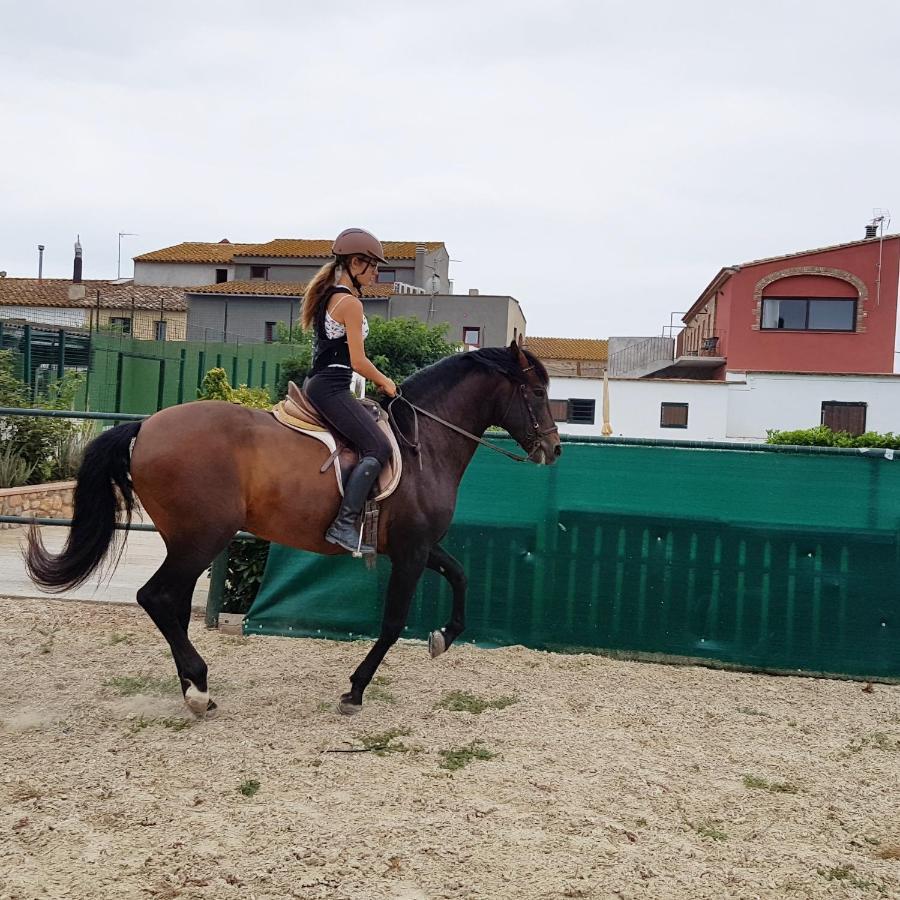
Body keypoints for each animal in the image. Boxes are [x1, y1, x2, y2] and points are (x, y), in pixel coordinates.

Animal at [24, 342, 560, 716]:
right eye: (537, 393)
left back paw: (195, 688)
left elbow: (461, 576)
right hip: (203, 538)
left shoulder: (420, 545)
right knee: (155, 597)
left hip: (187, 542)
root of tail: (145, 426)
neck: (422, 442)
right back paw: (197, 689)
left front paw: (443, 637)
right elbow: (391, 624)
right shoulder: (410, 551)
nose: (554, 449)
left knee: (171, 604)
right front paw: (355, 691)